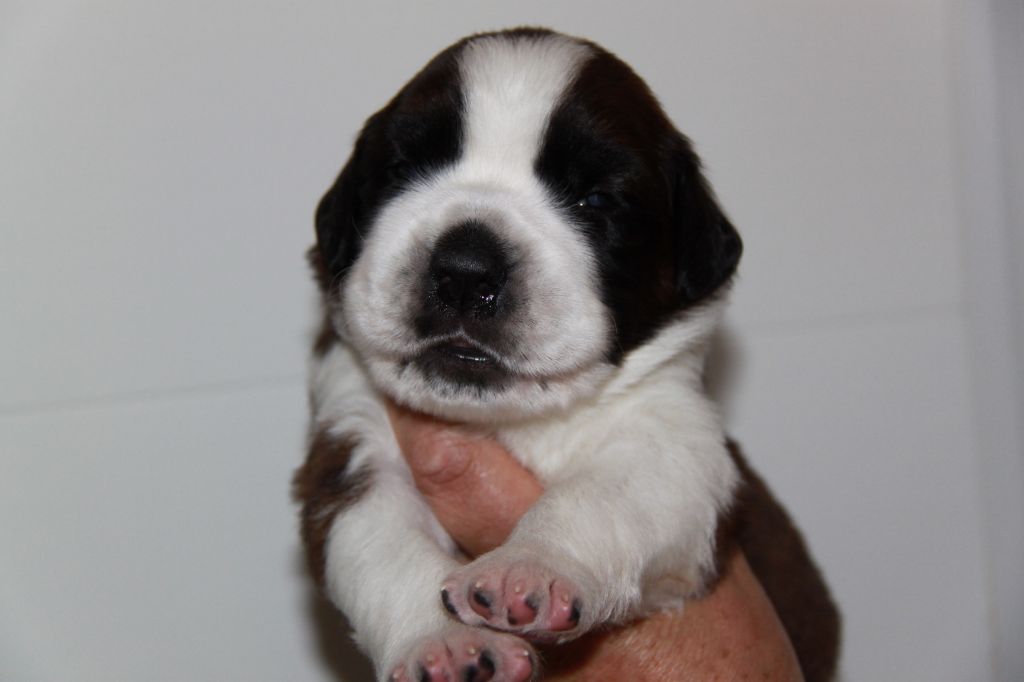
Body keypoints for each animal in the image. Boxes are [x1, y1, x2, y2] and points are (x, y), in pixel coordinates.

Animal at [295, 28, 839, 681]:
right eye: (402, 169)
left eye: (595, 200)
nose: (464, 271)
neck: (513, 423)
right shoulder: (351, 446)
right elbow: (382, 542)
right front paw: (444, 642)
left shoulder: (674, 444)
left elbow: (597, 499)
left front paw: (530, 567)